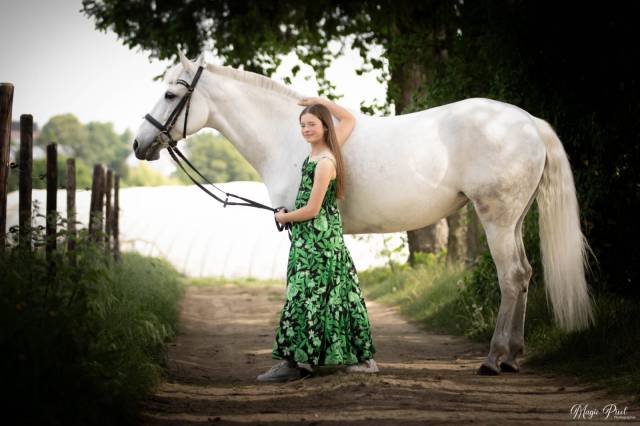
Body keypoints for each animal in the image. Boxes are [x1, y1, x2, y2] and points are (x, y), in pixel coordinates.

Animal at [133, 51, 594, 375]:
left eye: (171, 94)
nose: (139, 144)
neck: (290, 138)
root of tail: (528, 122)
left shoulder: (296, 223)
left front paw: (295, 362)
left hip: (496, 218)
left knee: (511, 277)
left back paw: (495, 359)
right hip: (513, 218)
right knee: (525, 275)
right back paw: (513, 355)